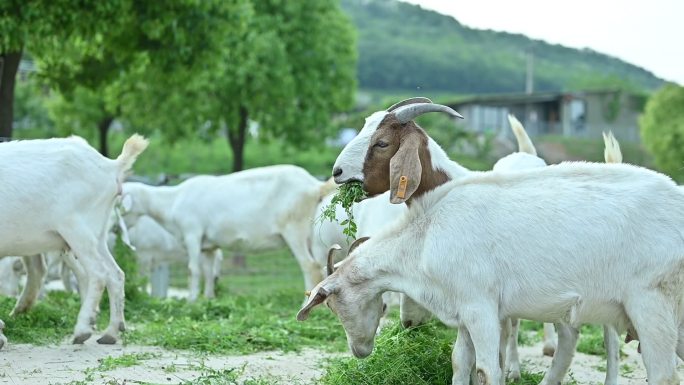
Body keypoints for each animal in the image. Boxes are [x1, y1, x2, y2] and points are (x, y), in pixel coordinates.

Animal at [0, 134, 148, 346]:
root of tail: (110, 166)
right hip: (97, 234)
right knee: (116, 274)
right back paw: (110, 333)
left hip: (76, 229)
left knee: (98, 273)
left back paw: (82, 330)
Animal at [123, 165, 336, 300]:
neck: (173, 200)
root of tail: (314, 185)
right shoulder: (208, 246)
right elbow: (209, 272)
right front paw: (208, 299)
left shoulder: (192, 234)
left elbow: (193, 270)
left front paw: (191, 299)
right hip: (311, 235)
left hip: (294, 230)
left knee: (310, 267)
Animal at [304, 102, 684, 384]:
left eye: (381, 143)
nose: (337, 172)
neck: (428, 231)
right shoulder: (466, 310)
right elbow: (460, 362)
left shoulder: (480, 307)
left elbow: (488, 369)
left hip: (649, 304)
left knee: (652, 369)